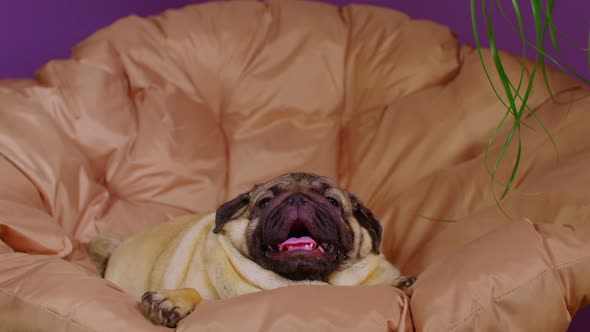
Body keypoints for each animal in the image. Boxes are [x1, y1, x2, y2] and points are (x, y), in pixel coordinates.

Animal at [90, 172, 418, 328]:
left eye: (332, 202)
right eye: (265, 202)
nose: (297, 198)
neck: (299, 282)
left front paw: (400, 283)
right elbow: (195, 293)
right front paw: (172, 300)